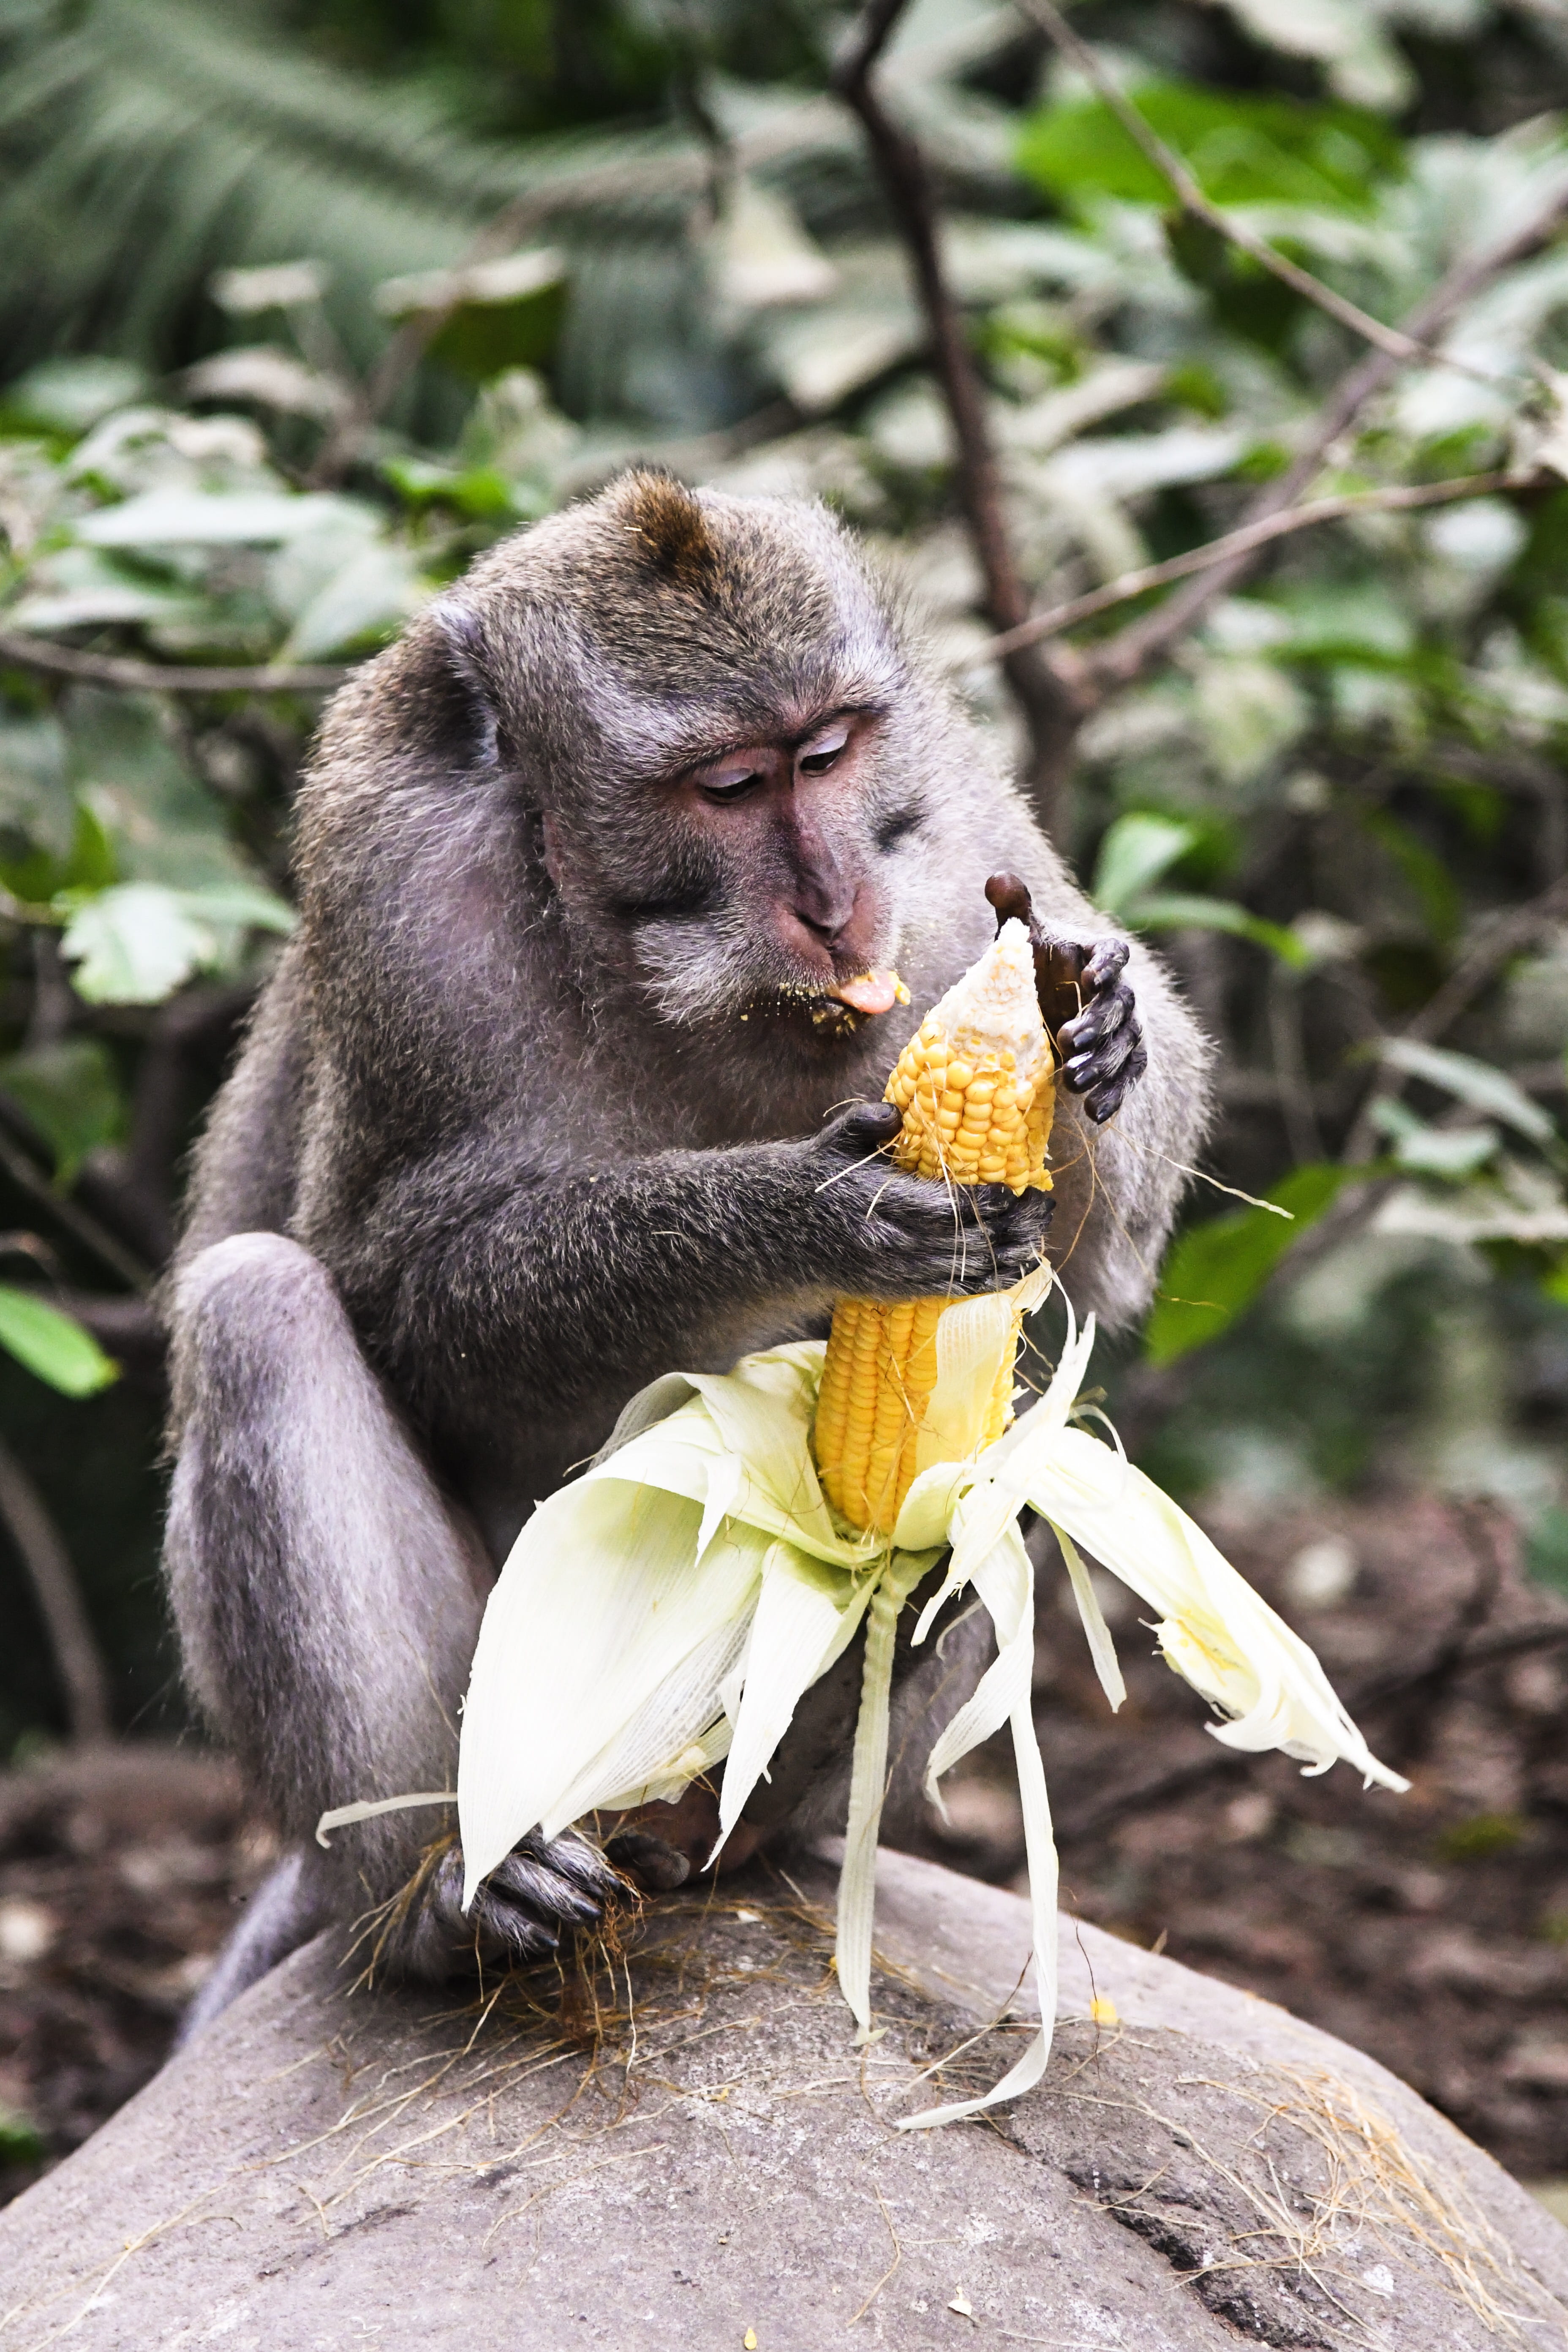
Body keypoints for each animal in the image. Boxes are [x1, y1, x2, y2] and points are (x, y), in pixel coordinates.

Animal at [165, 471, 1211, 2036]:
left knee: (1019, 1445)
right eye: (729, 786)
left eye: (827, 754)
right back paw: (441, 1897)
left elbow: (1097, 1276)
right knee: (259, 1308)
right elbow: (399, 1287)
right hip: (524, 1719)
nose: (836, 901)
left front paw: (1096, 1015)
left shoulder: (949, 830)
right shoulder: (398, 881)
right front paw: (806, 1205)